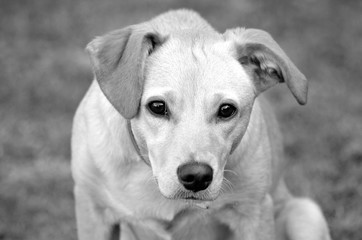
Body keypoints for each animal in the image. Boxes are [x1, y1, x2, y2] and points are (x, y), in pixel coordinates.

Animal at [71, 8, 330, 240]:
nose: (196, 177)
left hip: (306, 214)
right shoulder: (92, 209)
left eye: (226, 110)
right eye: (157, 106)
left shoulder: (254, 212)